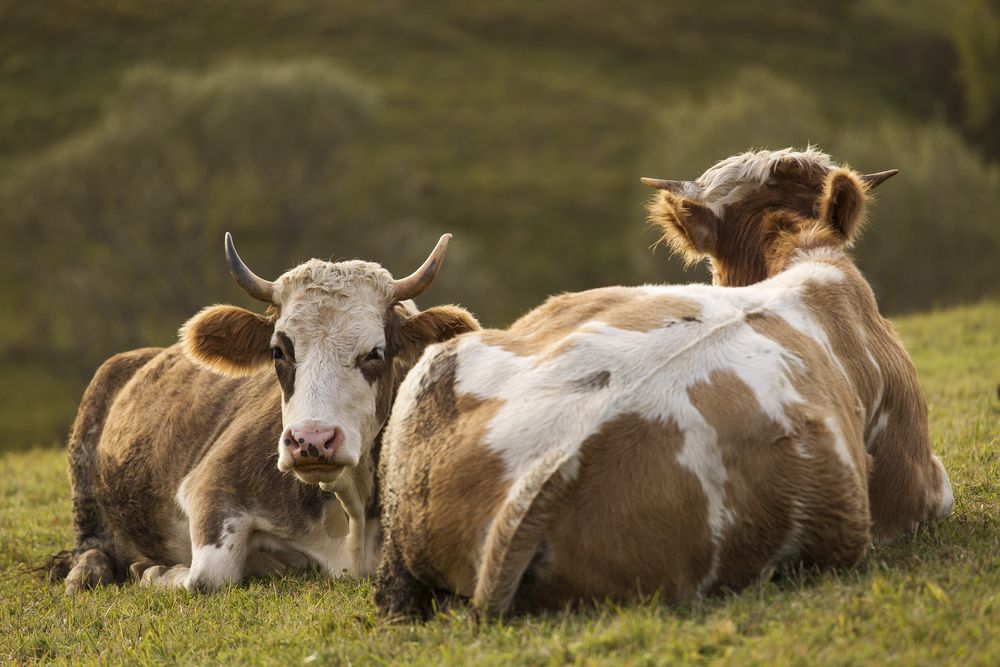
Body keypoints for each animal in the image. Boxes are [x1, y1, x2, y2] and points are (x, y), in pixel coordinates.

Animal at [52, 235, 478, 596]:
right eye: (279, 351)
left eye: (375, 353)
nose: (311, 440)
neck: (353, 510)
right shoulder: (210, 487)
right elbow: (207, 577)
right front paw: (153, 570)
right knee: (90, 550)